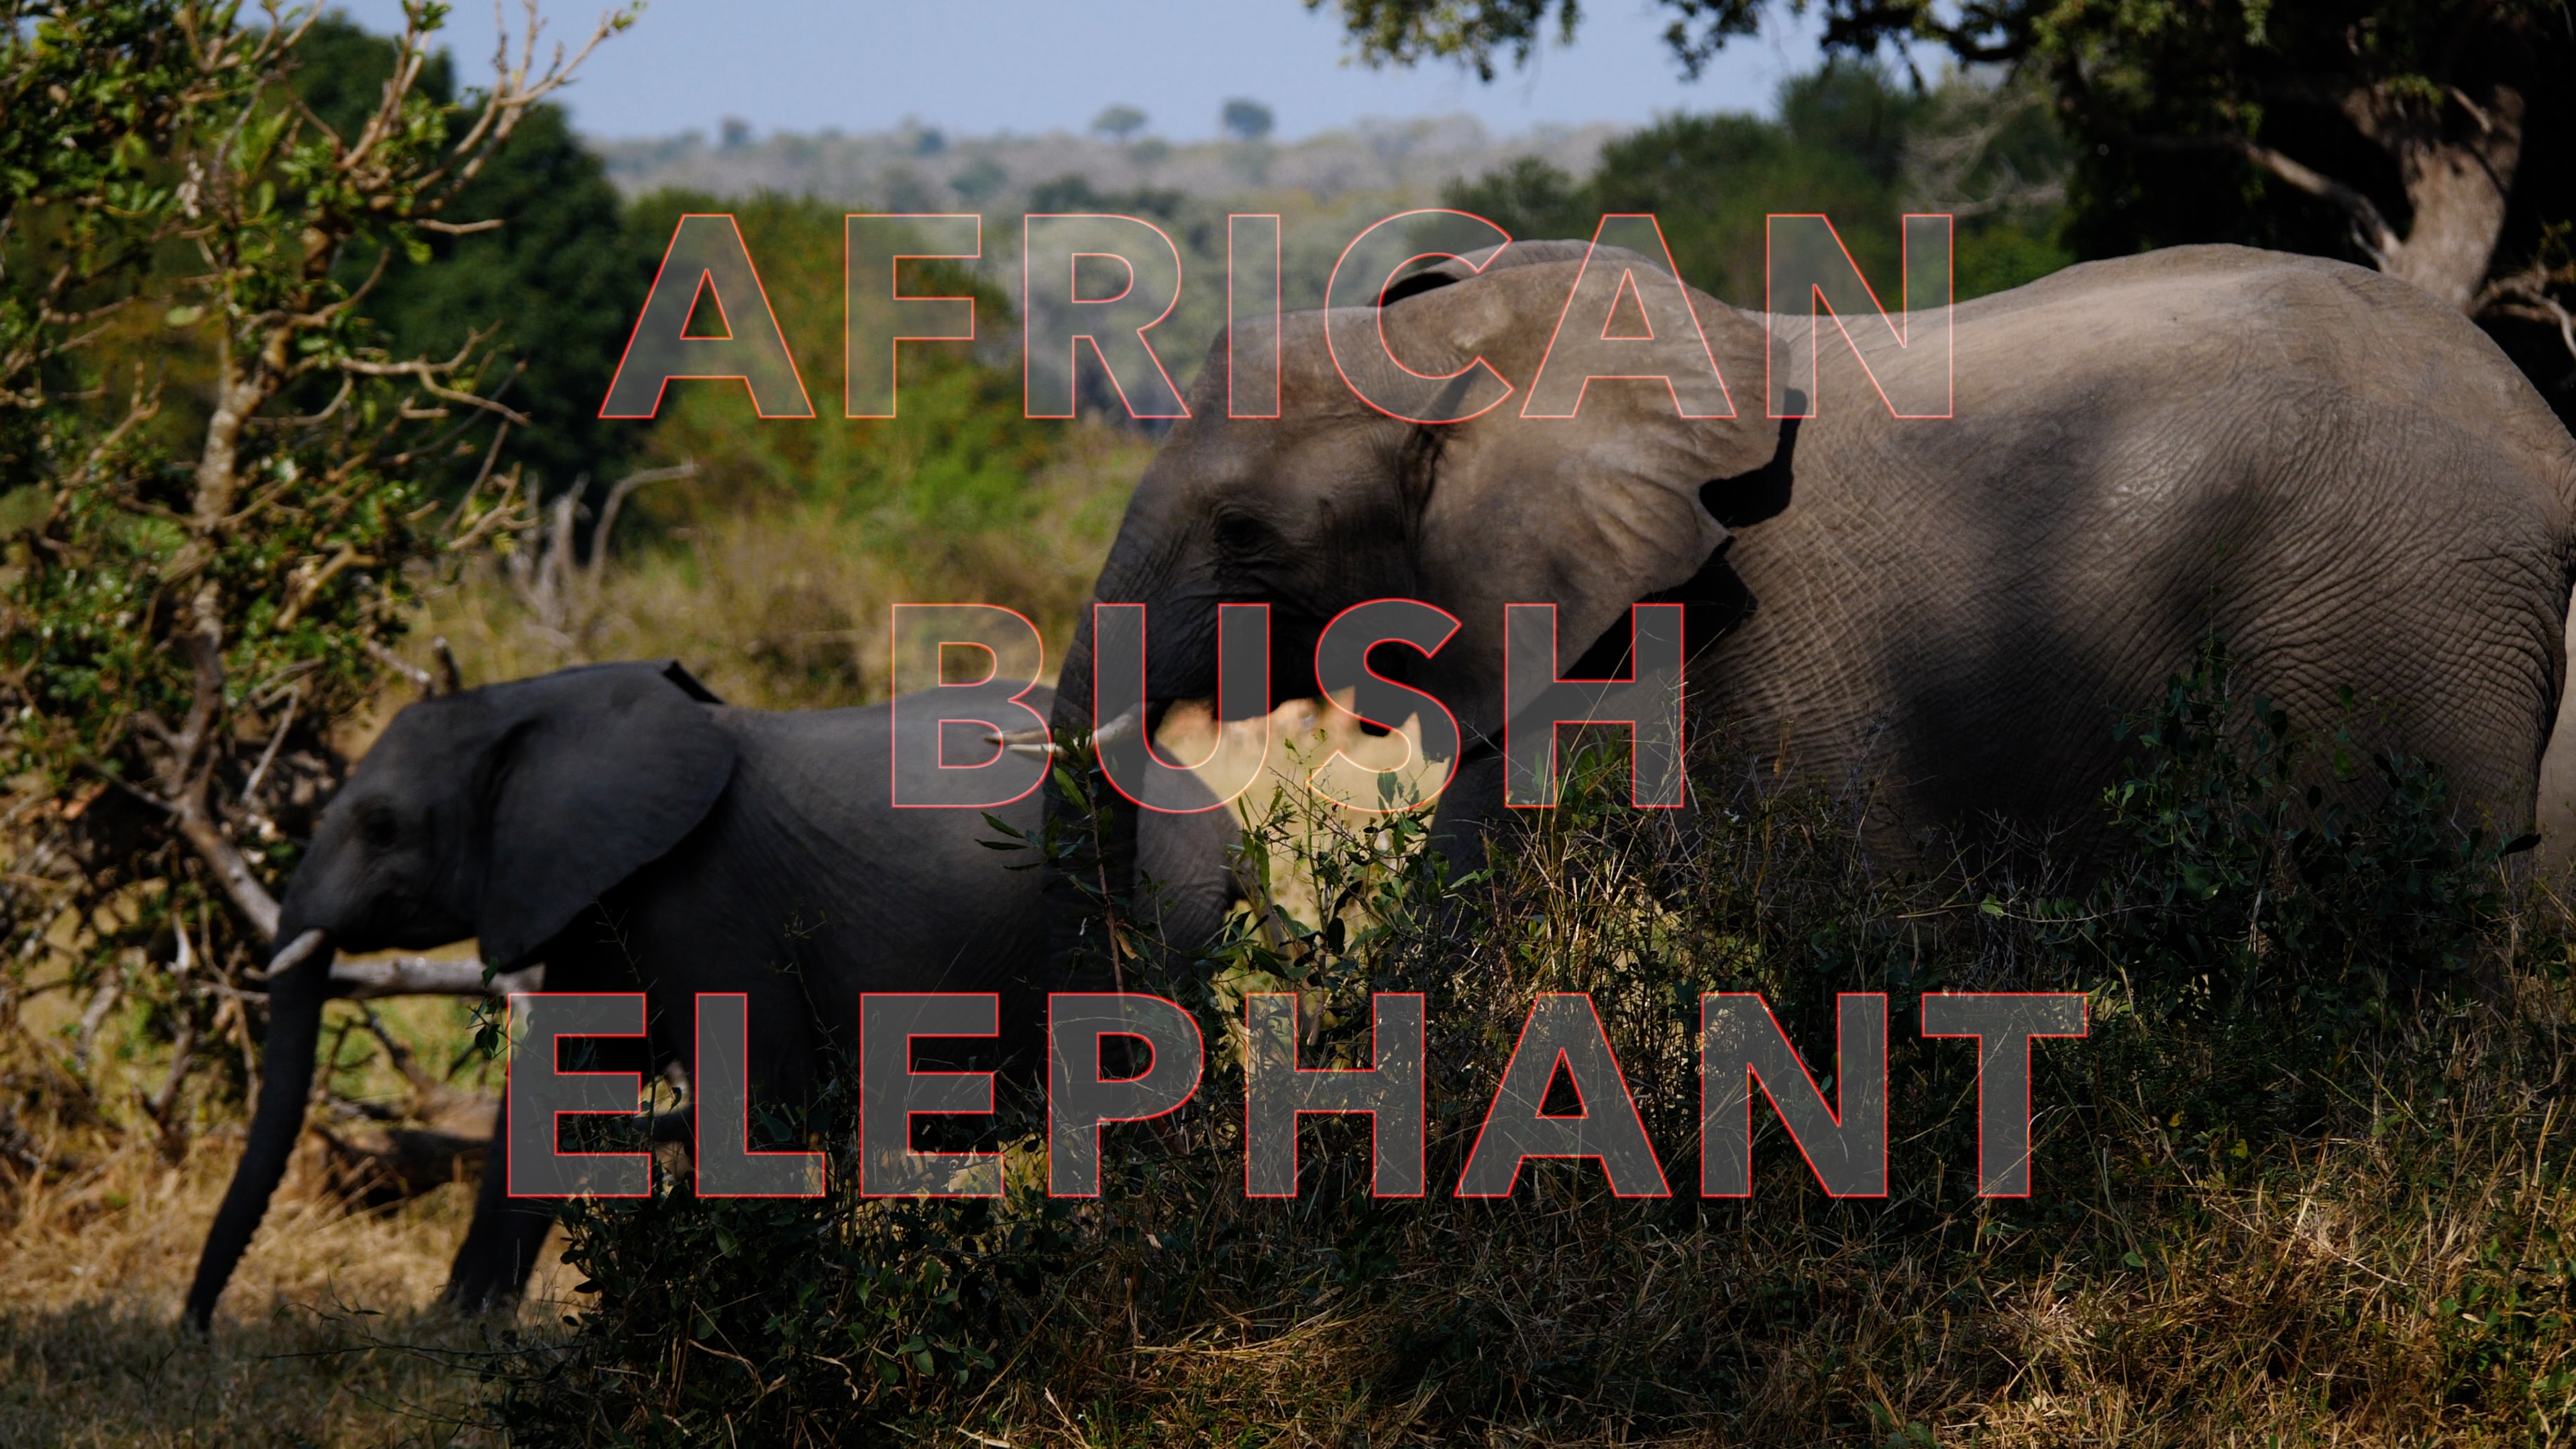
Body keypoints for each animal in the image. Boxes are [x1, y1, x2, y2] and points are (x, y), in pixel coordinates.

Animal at [185, 660, 1239, 1329]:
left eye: (380, 826)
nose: (196, 1326)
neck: (536, 703)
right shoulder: (597, 897)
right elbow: (554, 1090)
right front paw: (457, 1330)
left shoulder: (708, 898)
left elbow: (760, 1106)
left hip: (1155, 914)